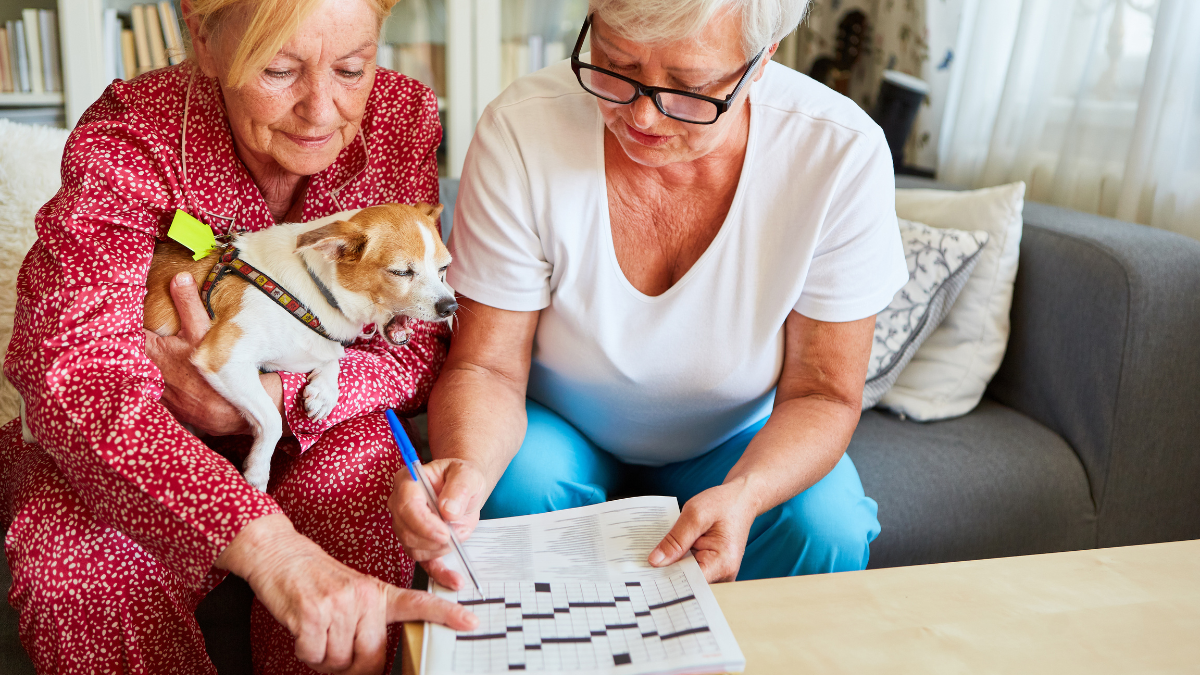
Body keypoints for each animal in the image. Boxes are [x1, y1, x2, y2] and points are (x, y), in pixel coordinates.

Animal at [16, 200, 456, 487]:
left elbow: (330, 357)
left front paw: (324, 391)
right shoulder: (224, 359)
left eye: (443, 269)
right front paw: (258, 471)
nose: (451, 305)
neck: (312, 289)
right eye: (401, 272)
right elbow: (273, 420)